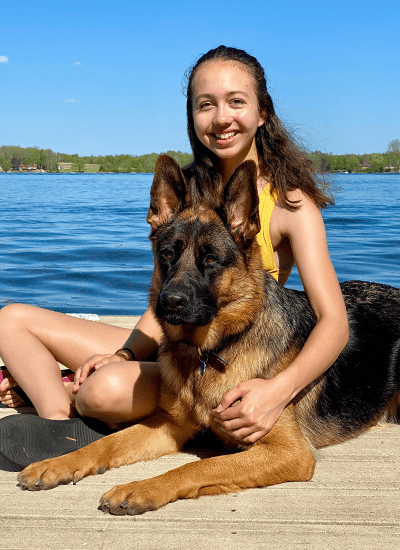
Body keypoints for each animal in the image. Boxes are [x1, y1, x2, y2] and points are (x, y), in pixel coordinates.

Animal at [18, 153, 400, 516]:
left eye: (212, 259)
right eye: (167, 254)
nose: (169, 302)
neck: (211, 352)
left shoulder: (289, 452)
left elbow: (197, 468)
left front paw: (142, 488)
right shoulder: (169, 425)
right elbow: (106, 443)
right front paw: (58, 463)